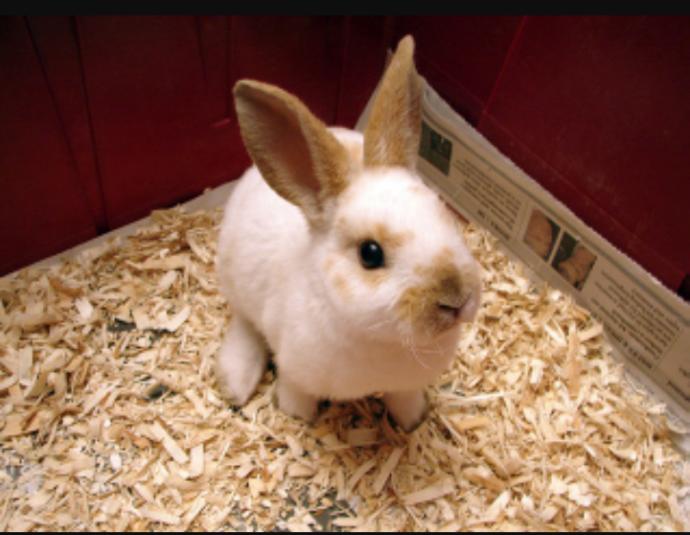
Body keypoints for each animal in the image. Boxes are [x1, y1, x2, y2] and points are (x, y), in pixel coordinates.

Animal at [215, 35, 482, 431]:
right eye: (370, 254)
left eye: (444, 213)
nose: (457, 298)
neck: (382, 341)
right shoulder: (296, 371)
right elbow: (296, 394)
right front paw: (296, 416)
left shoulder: (407, 384)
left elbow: (404, 400)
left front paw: (413, 422)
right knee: (245, 323)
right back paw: (236, 383)